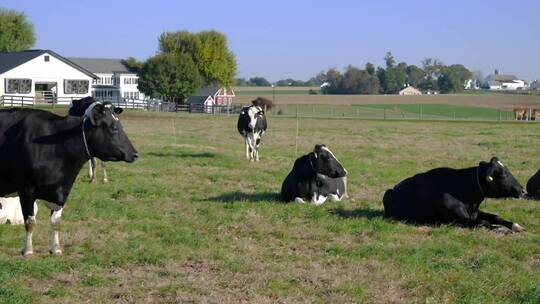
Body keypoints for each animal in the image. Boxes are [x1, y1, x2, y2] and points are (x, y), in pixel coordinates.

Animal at [0, 100, 137, 256]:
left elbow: (56, 222)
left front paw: (56, 248)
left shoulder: (63, 189)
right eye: (113, 128)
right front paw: (28, 251)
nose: (135, 153)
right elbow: (30, 222)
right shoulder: (26, 188)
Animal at [384, 158, 528, 232]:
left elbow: (495, 217)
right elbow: (485, 222)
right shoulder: (460, 219)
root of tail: (395, 187)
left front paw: (515, 226)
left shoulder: (475, 212)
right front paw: (501, 229)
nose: (523, 191)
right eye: (503, 174)